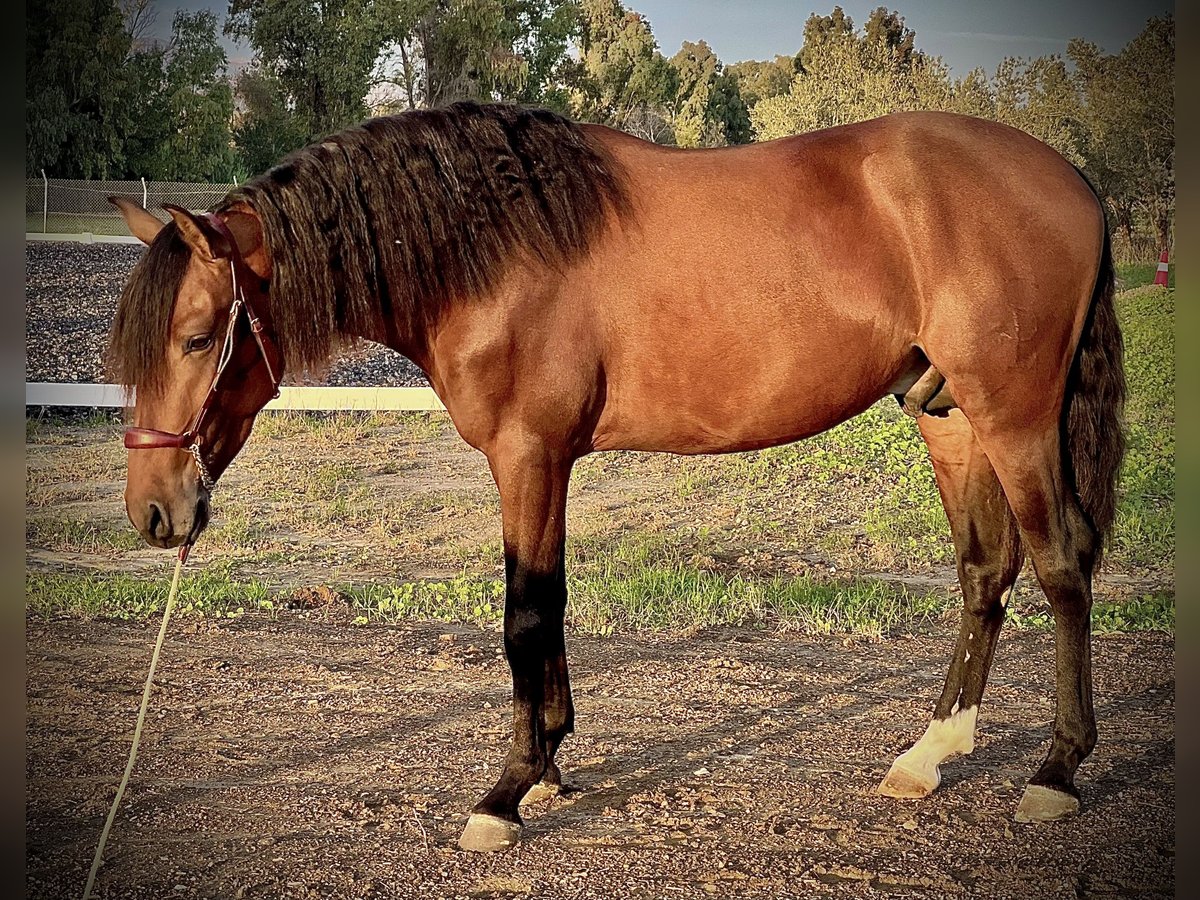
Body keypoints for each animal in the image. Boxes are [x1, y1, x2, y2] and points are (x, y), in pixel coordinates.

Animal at [105, 102, 1123, 854]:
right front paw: (550, 765)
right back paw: (930, 753)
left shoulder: (528, 453)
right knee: (985, 573)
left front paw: (506, 792)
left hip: (1014, 415)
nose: (155, 512)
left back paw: (1056, 773)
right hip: (948, 415)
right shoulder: (544, 463)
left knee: (1062, 569)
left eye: (196, 337)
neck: (494, 246)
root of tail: (1073, 181)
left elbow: (523, 612)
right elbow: (548, 602)